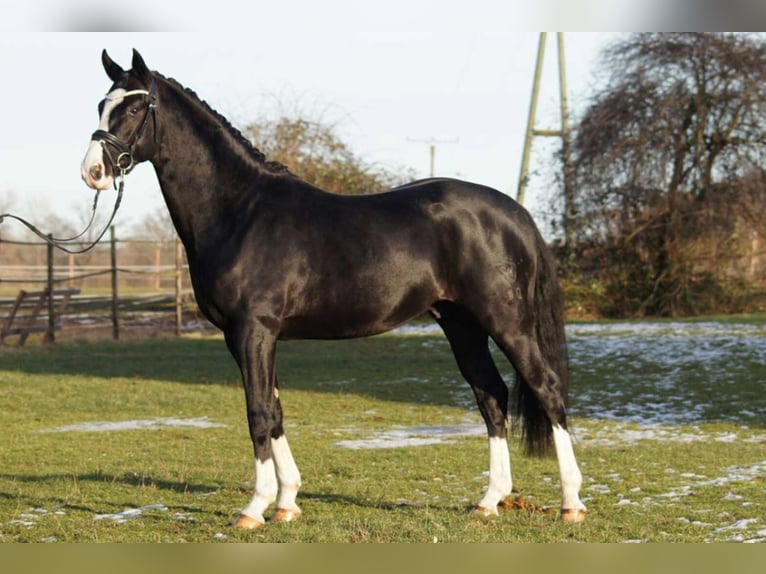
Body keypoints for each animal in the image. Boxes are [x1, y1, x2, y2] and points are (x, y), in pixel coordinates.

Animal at [80, 49, 586, 529]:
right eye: (101, 104)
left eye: (135, 107)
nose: (93, 172)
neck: (240, 212)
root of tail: (515, 212)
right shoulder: (247, 337)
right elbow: (275, 412)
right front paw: (286, 504)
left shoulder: (253, 331)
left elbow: (258, 413)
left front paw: (255, 508)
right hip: (461, 324)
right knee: (491, 396)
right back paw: (489, 501)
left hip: (507, 321)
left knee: (546, 389)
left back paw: (571, 503)